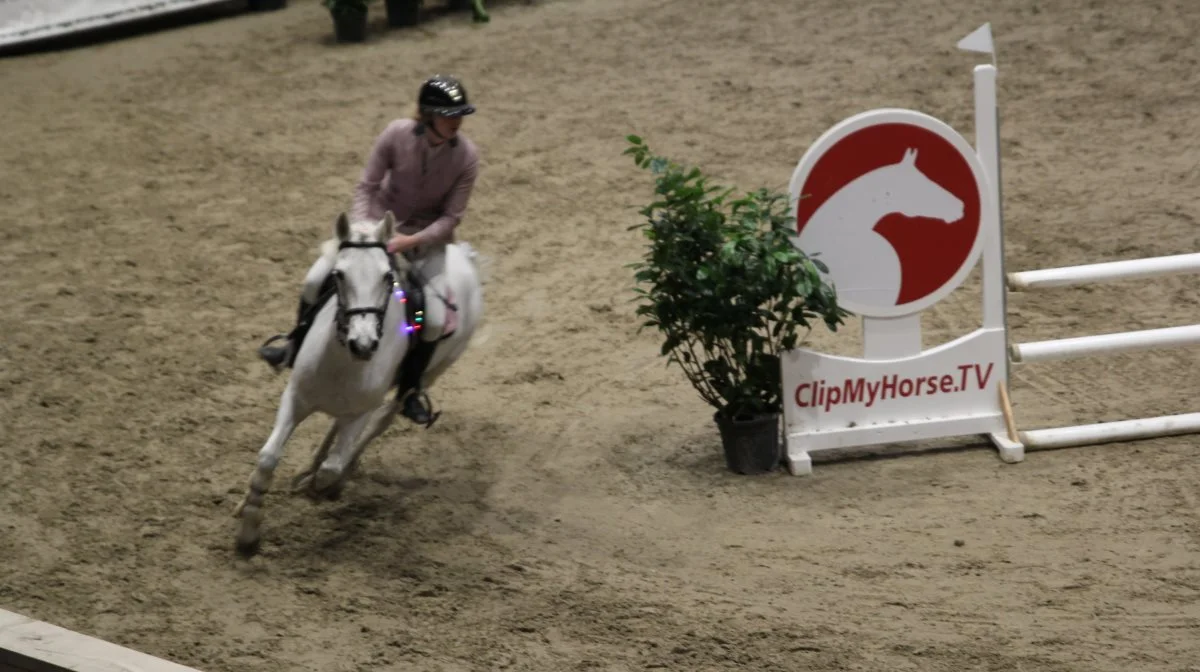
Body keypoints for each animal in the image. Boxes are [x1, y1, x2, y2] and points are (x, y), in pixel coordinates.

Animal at [235, 211, 487, 556]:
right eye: (338, 275)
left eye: (387, 277)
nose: (363, 344)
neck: (341, 363)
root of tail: (465, 256)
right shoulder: (295, 398)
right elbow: (267, 458)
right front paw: (247, 523)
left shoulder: (362, 411)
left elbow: (332, 468)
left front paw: (323, 487)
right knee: (337, 427)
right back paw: (309, 466)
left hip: (429, 373)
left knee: (381, 421)